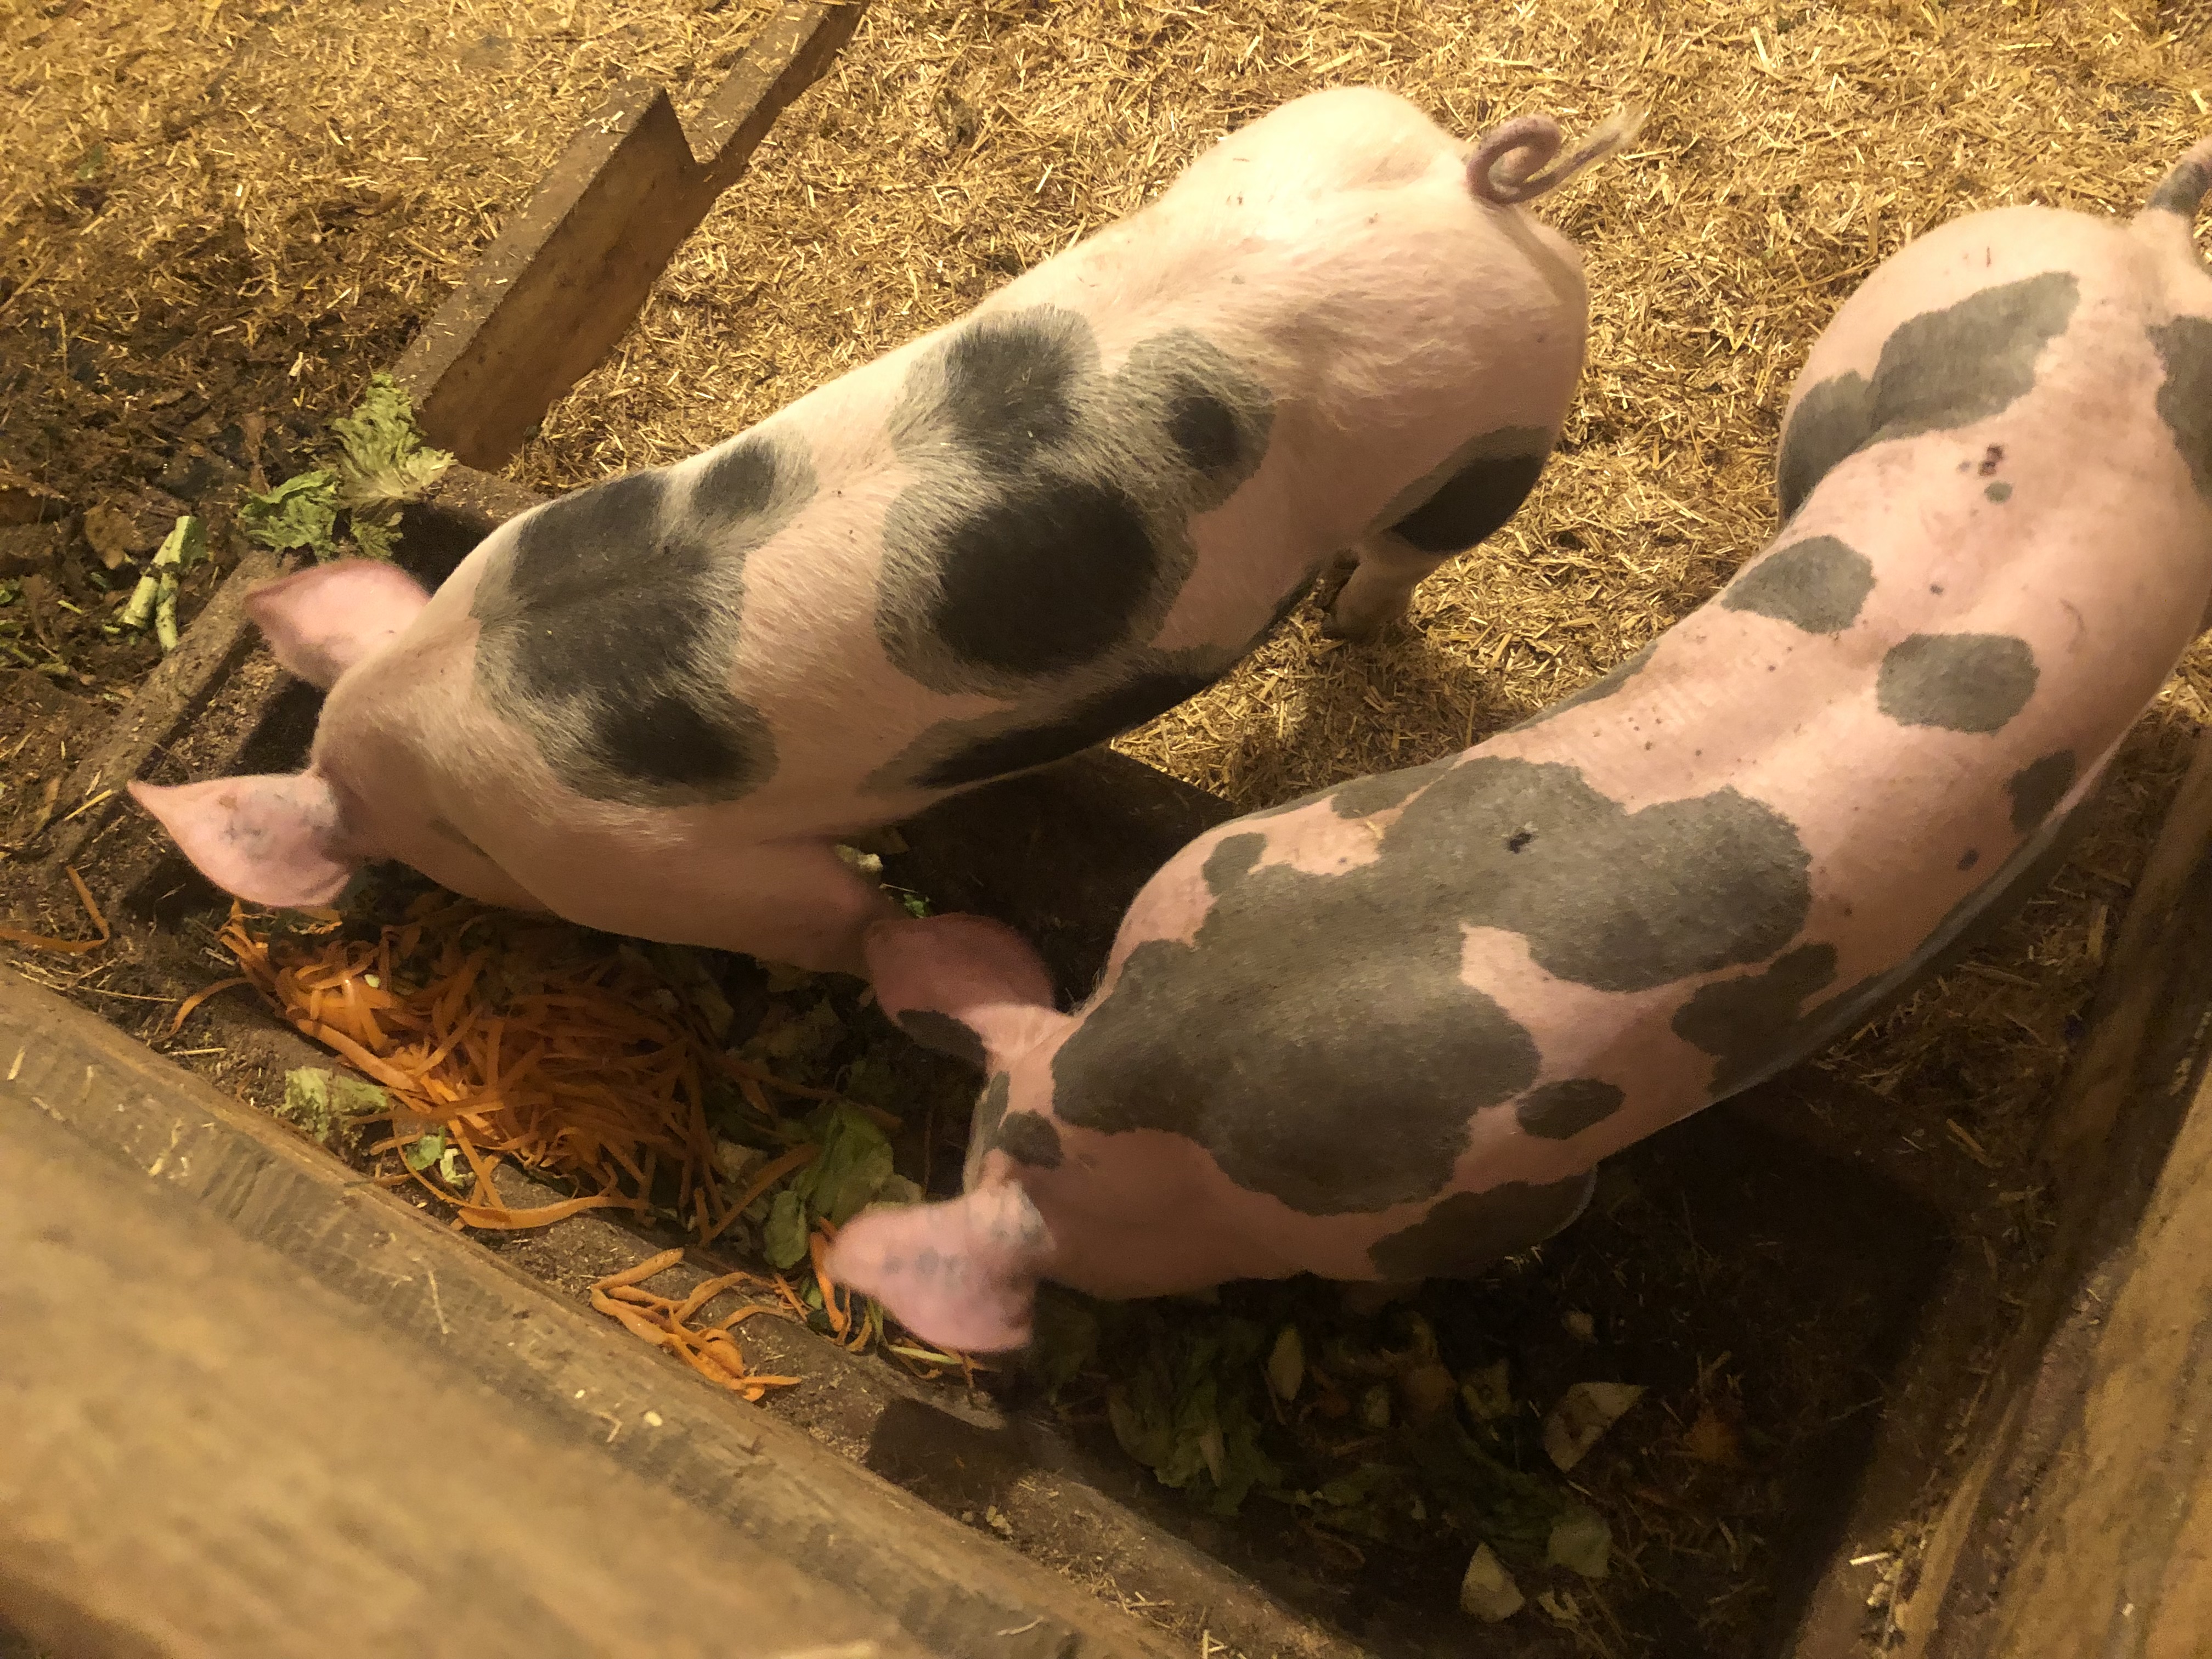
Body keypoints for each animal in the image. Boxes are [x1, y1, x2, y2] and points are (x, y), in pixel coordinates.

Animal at [128, 89, 1644, 976]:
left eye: (444, 865)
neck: (438, 708)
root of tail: (1466, 187)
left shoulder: (676, 874)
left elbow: (828, 917)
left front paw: (899, 935)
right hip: (1310, 130)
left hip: (1493, 429)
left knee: (1411, 554)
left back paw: (1352, 619)